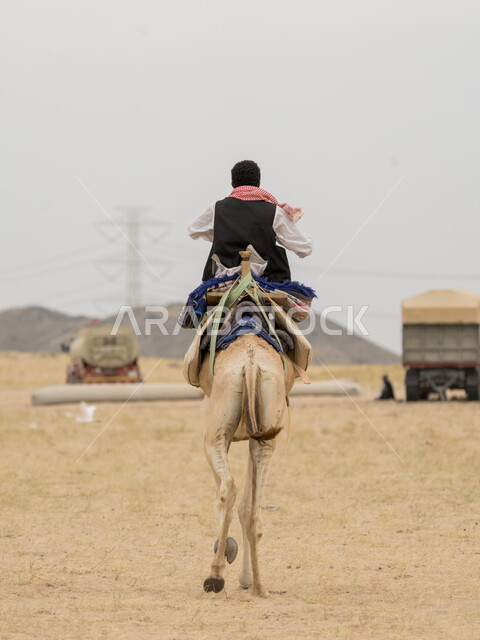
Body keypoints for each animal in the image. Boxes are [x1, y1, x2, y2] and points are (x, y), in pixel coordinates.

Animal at [198, 319, 295, 596]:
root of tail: (251, 364)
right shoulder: (255, 436)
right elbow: (245, 506)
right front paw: (246, 578)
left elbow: (221, 497)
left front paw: (227, 548)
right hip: (267, 434)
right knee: (253, 509)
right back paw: (259, 586)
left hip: (214, 436)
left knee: (227, 488)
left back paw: (215, 576)